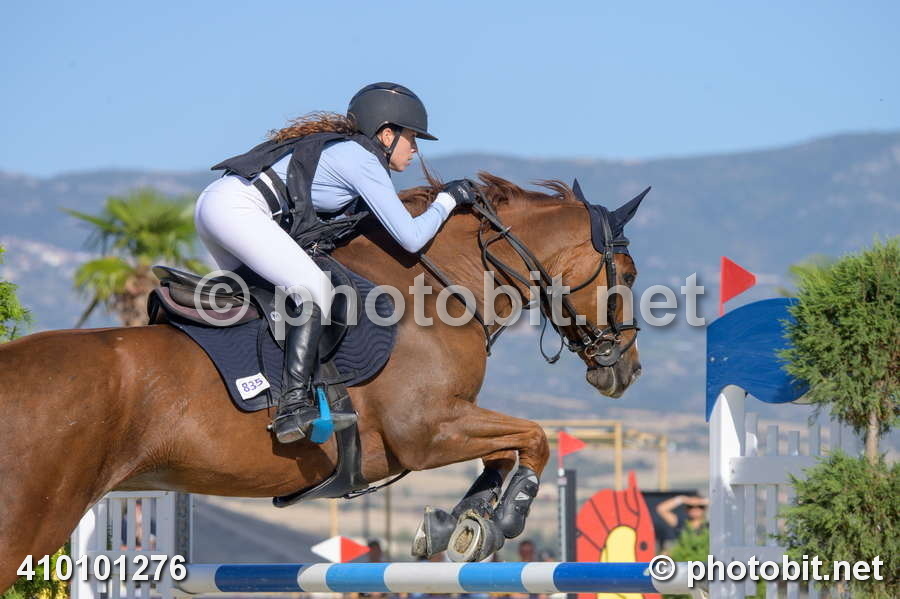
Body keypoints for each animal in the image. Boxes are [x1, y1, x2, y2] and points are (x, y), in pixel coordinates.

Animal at [0, 172, 644, 590]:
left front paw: (458, 524)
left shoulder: (446, 424)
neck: (438, 288)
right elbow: (532, 437)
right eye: (629, 271)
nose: (627, 369)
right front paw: (499, 521)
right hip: (30, 521)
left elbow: (506, 450)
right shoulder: (426, 431)